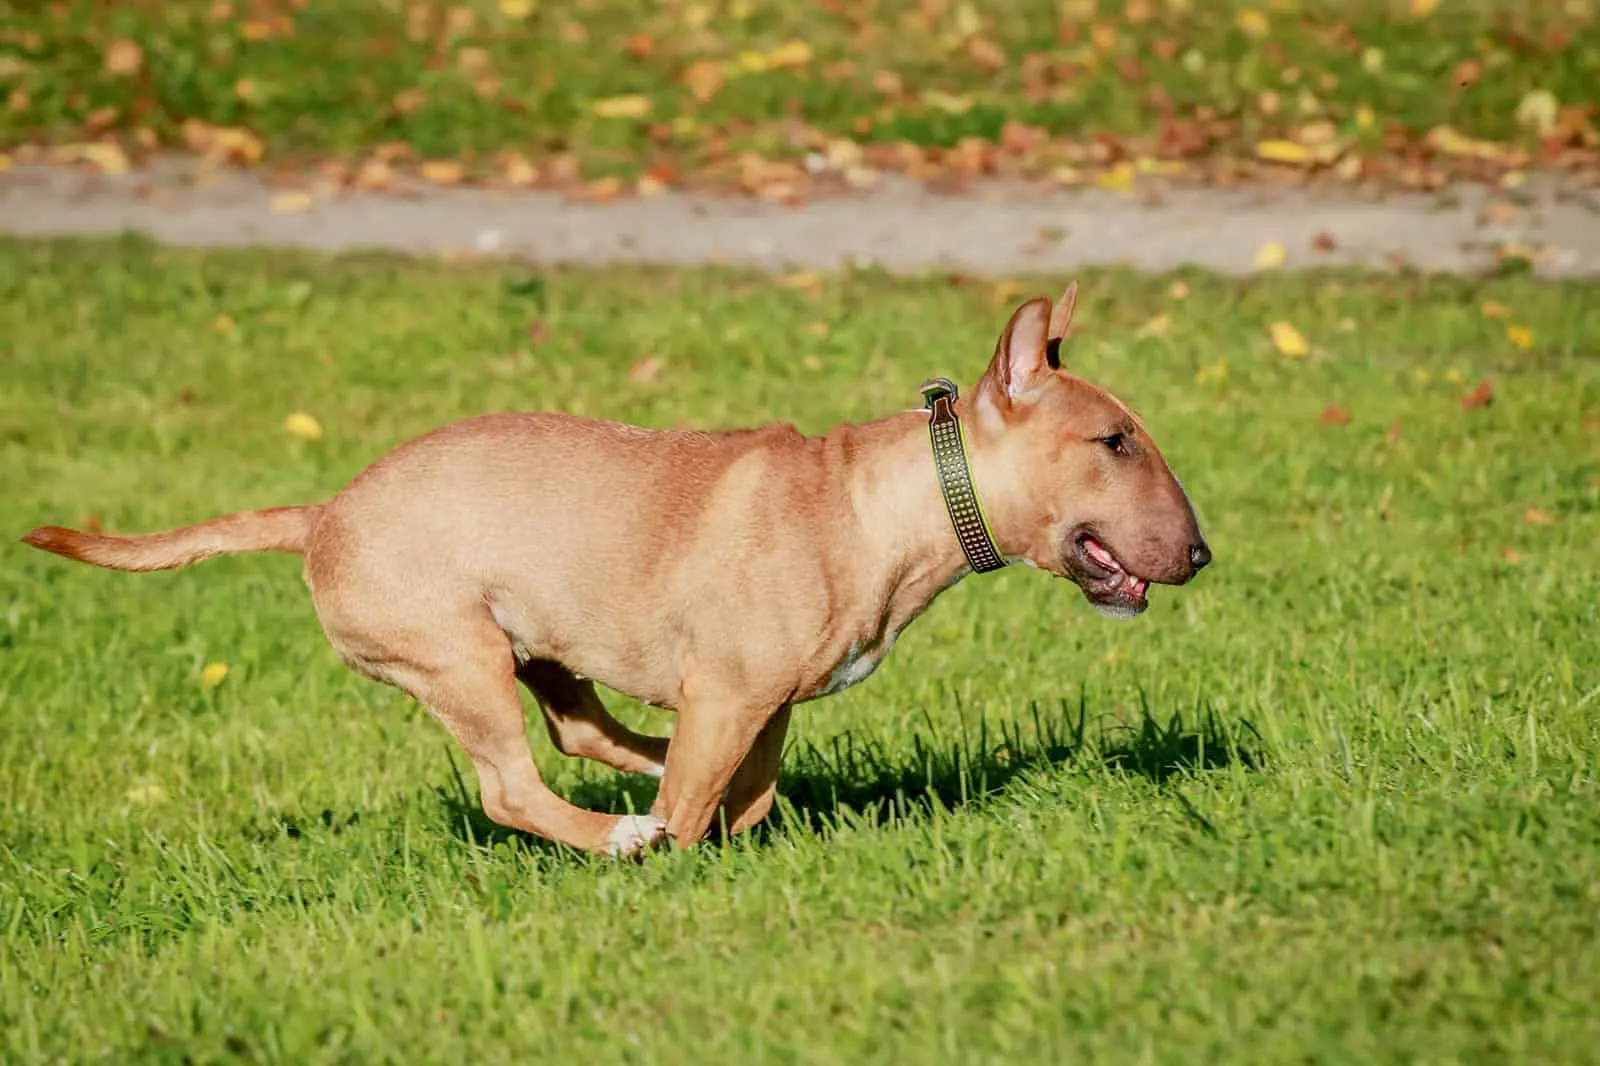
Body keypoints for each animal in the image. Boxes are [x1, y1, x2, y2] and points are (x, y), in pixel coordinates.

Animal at [25, 284, 1203, 857]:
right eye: (1113, 443)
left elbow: (747, 794)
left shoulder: (758, 702)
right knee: (514, 788)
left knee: (583, 733)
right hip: (459, 656)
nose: (1200, 554)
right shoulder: (732, 693)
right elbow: (706, 798)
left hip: (538, 645)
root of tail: (326, 514)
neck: (884, 501)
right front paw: (680, 853)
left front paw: (731, 833)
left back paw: (641, 778)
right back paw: (621, 834)